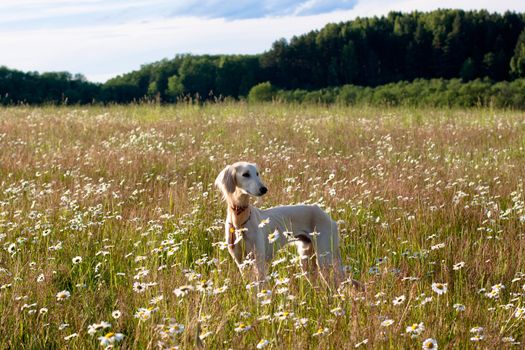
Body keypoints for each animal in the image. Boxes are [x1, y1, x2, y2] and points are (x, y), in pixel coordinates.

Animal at [214, 161, 348, 284]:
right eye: (245, 174)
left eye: (257, 173)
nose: (264, 189)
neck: (240, 222)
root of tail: (328, 216)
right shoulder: (241, 263)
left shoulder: (259, 261)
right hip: (306, 259)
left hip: (324, 258)